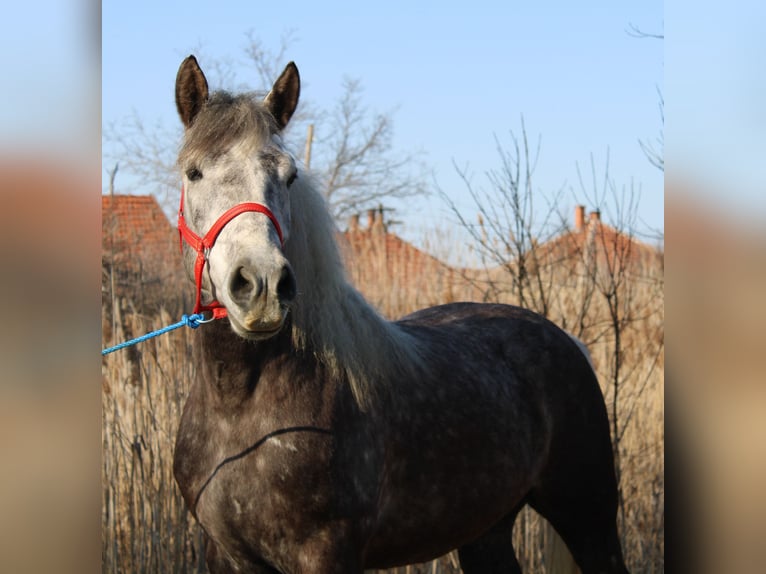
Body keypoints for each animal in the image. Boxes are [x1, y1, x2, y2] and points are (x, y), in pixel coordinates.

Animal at [171, 54, 629, 574]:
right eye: (194, 173)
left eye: (288, 177)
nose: (262, 284)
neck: (242, 408)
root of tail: (567, 342)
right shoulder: (226, 555)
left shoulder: (327, 554)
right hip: (486, 529)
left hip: (589, 519)